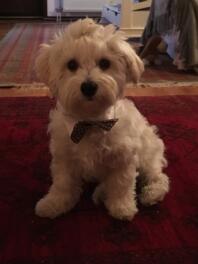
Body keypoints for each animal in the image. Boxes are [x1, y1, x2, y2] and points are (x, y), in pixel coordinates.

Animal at [34, 19, 169, 221]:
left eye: (105, 63)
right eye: (71, 64)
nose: (89, 87)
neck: (90, 121)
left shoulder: (123, 158)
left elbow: (121, 185)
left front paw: (122, 207)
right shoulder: (64, 157)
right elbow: (63, 184)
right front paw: (53, 203)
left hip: (147, 154)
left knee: (158, 176)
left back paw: (151, 193)